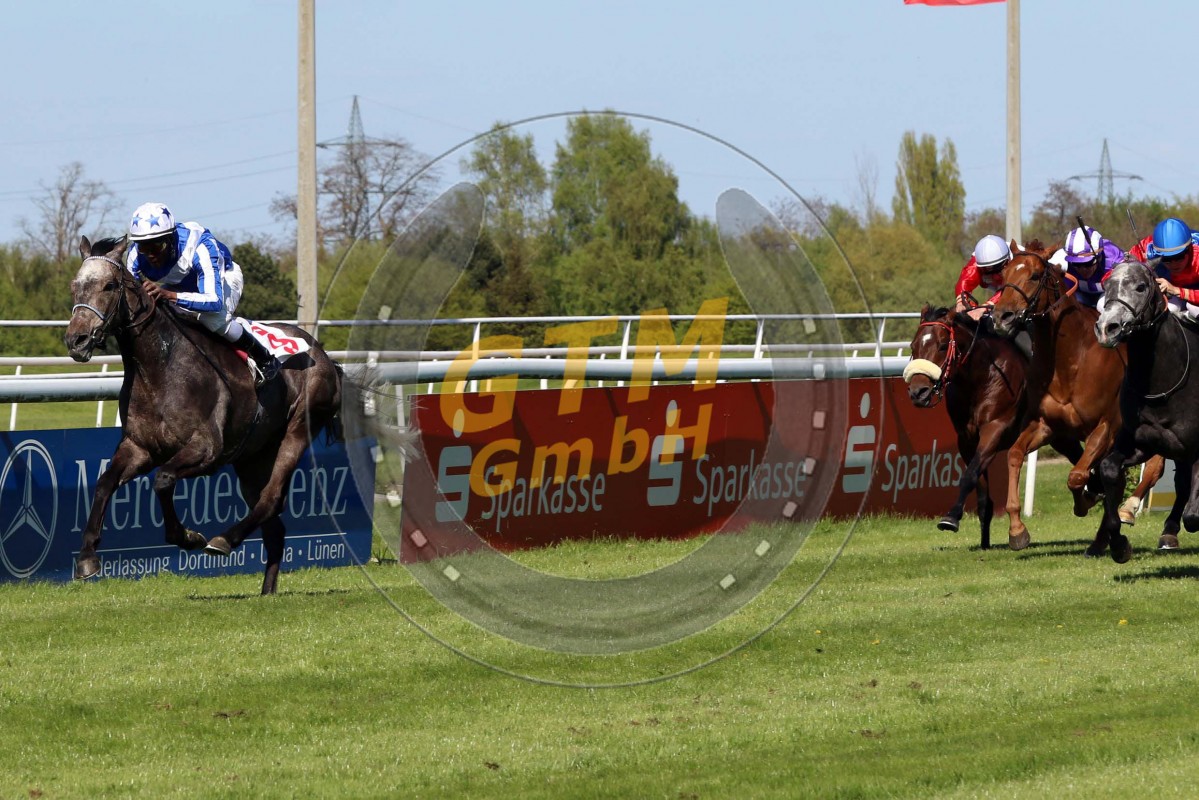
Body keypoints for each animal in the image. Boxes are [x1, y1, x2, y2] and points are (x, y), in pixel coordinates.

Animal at [64, 235, 345, 594]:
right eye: (75, 286)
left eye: (109, 285)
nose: (77, 340)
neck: (159, 367)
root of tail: (324, 355)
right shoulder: (140, 447)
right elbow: (103, 483)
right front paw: (87, 557)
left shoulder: (207, 449)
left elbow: (164, 480)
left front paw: (186, 536)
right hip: (253, 457)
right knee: (273, 525)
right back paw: (266, 591)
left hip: (297, 431)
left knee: (270, 499)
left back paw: (223, 540)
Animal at [903, 304, 1162, 550]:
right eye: (913, 346)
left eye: (942, 345)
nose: (918, 392)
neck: (983, 376)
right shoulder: (966, 439)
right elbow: (980, 487)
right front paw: (985, 541)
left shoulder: (995, 430)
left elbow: (969, 475)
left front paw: (951, 517)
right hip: (1064, 437)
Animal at [989, 242, 1130, 554]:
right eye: (1004, 273)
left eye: (1034, 275)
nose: (1002, 316)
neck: (1071, 360)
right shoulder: (1047, 426)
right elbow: (1014, 454)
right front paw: (1017, 529)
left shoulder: (1107, 427)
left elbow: (1077, 476)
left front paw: (1086, 501)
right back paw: (1103, 540)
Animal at [1093, 257, 1199, 562]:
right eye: (1106, 284)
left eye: (1141, 286)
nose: (1107, 328)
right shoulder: (1143, 442)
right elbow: (1108, 468)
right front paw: (1119, 544)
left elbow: (1194, 514)